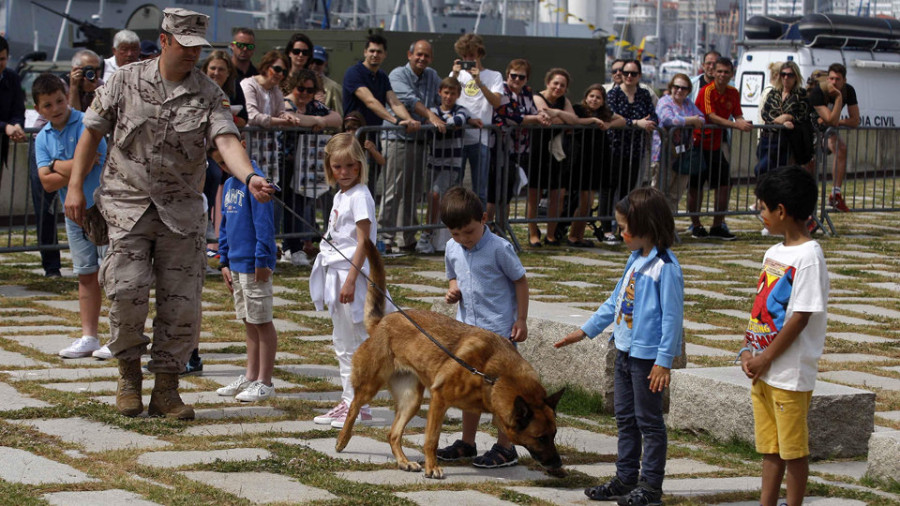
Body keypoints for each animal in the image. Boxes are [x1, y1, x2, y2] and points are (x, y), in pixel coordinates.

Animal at [338, 238, 564, 478]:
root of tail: (383, 321)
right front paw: (432, 467)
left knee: (393, 434)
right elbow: (431, 439)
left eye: (554, 434)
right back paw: (342, 440)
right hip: (371, 385)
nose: (559, 464)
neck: (493, 376)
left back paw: (404, 462)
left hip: (411, 400)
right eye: (541, 438)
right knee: (354, 406)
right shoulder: (439, 400)